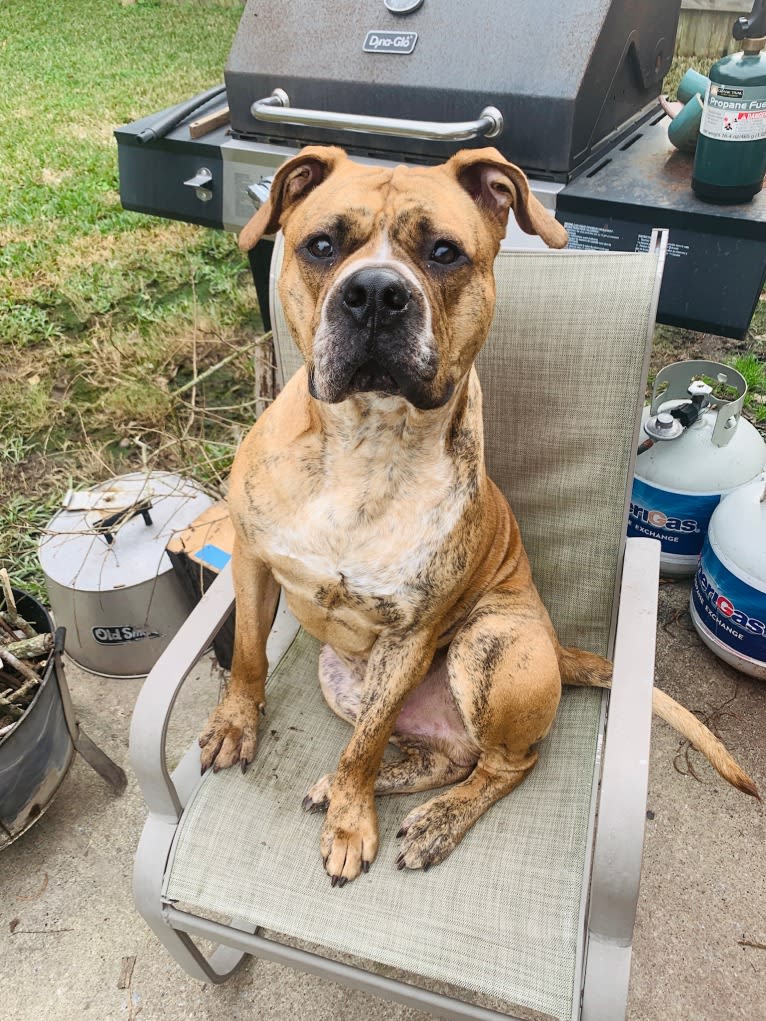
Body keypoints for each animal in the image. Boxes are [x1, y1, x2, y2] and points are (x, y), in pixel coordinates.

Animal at [199, 143, 763, 886]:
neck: (365, 445)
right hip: (342, 677)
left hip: (489, 644)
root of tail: (561, 650)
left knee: (500, 763)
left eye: (444, 252)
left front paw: (350, 823)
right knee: (433, 755)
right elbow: (247, 656)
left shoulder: (413, 633)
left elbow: (365, 745)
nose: (374, 293)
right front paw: (236, 725)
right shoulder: (255, 561)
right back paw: (361, 788)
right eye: (321, 245)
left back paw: (435, 820)